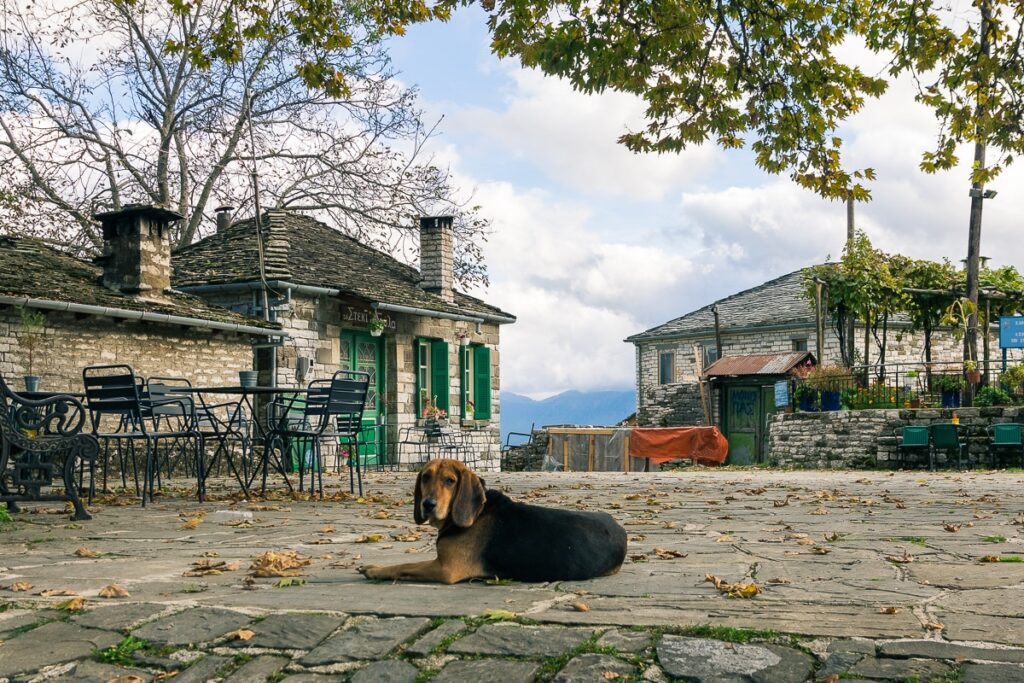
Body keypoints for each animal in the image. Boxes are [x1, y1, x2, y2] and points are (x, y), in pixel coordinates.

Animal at [360, 458, 630, 581]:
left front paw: (374, 569)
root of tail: (619, 528)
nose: (428, 504)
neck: (478, 512)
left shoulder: (446, 569)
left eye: (450, 481)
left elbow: (404, 566)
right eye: (425, 477)